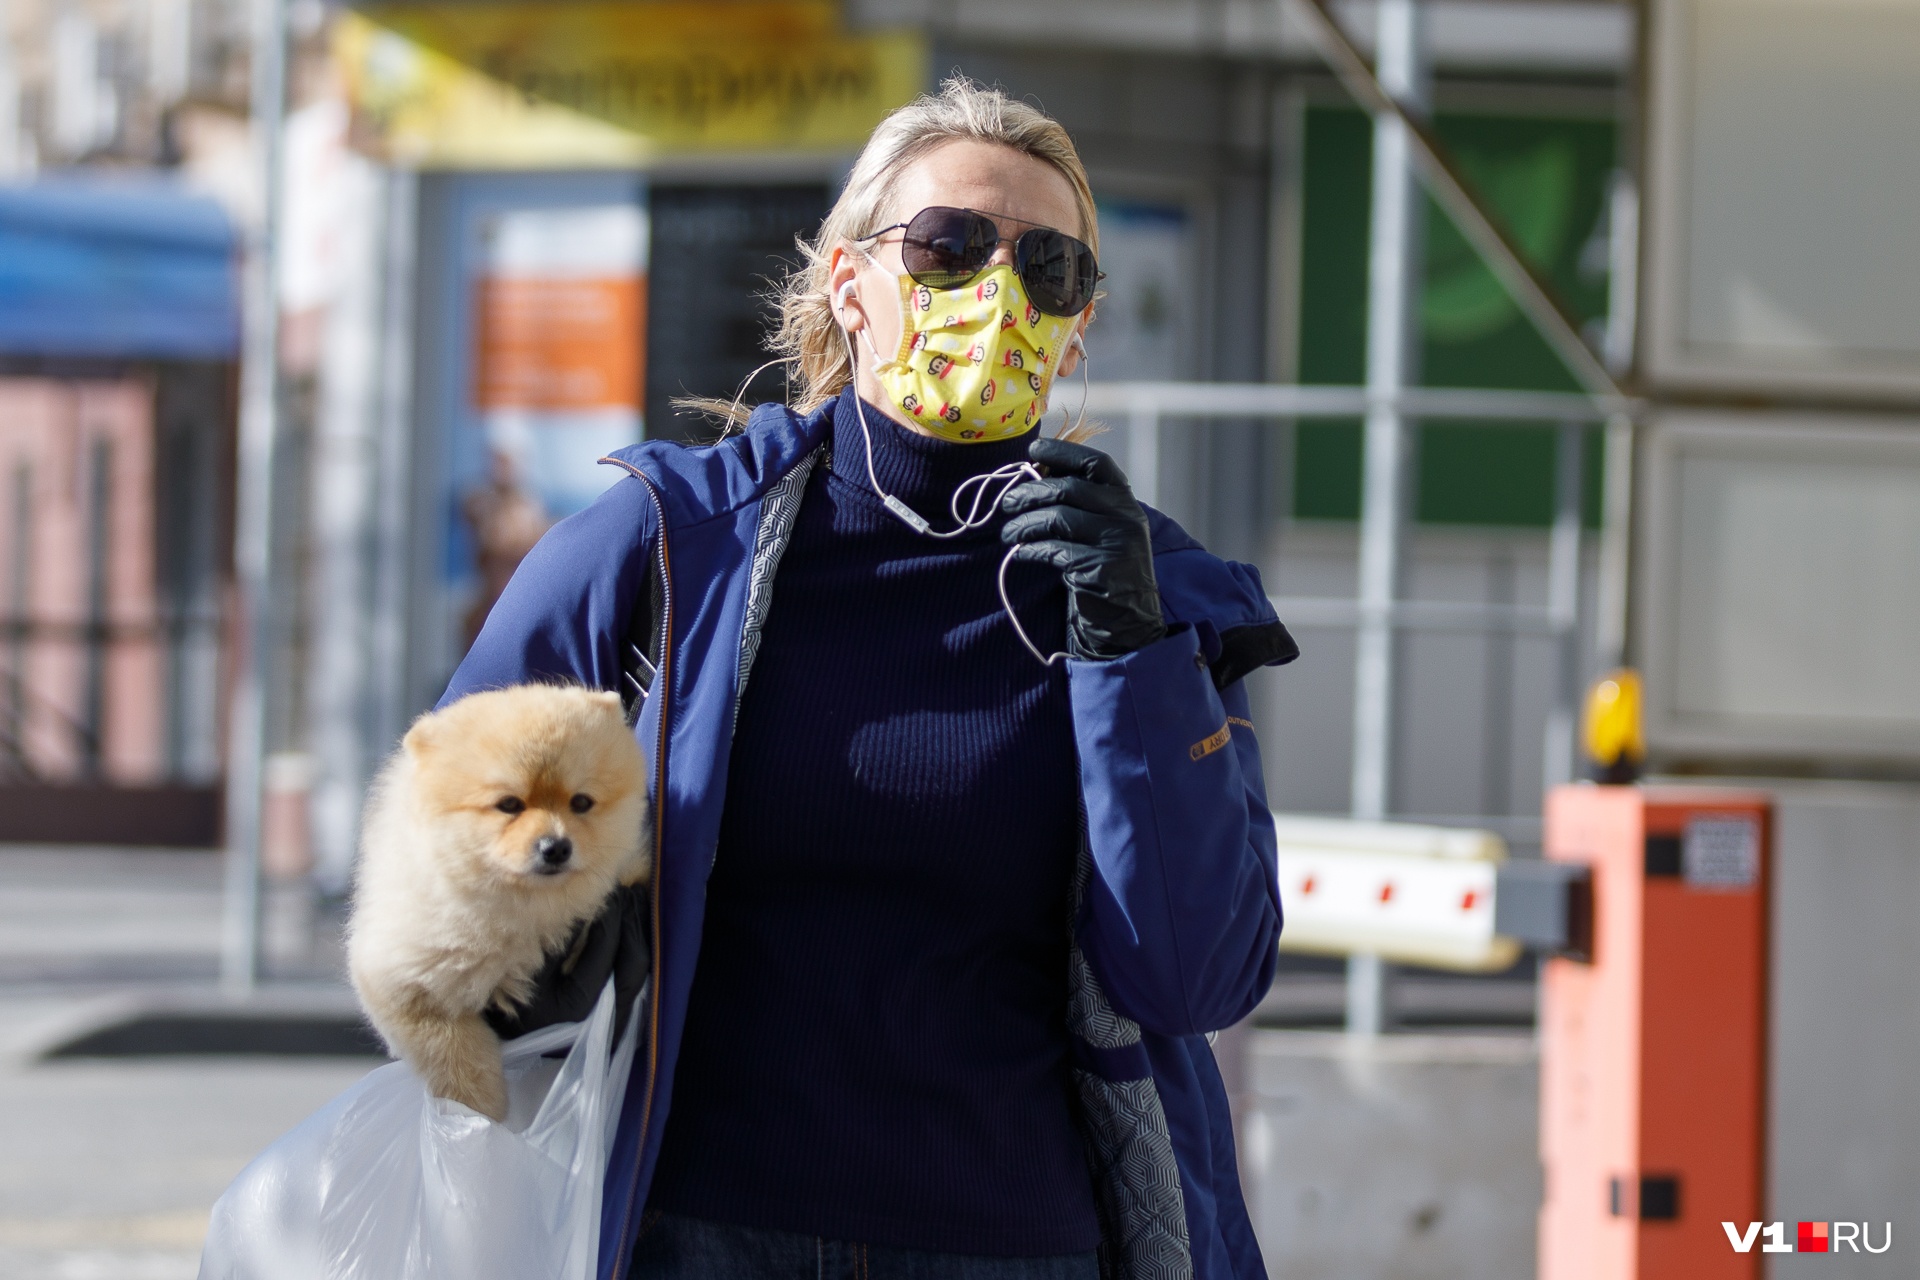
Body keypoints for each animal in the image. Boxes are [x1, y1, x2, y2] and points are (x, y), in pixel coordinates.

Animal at [357, 687, 656, 1113]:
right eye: (509, 805)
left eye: (581, 803)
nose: (555, 847)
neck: (524, 909)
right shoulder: (405, 978)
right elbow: (455, 1053)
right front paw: (479, 1115)